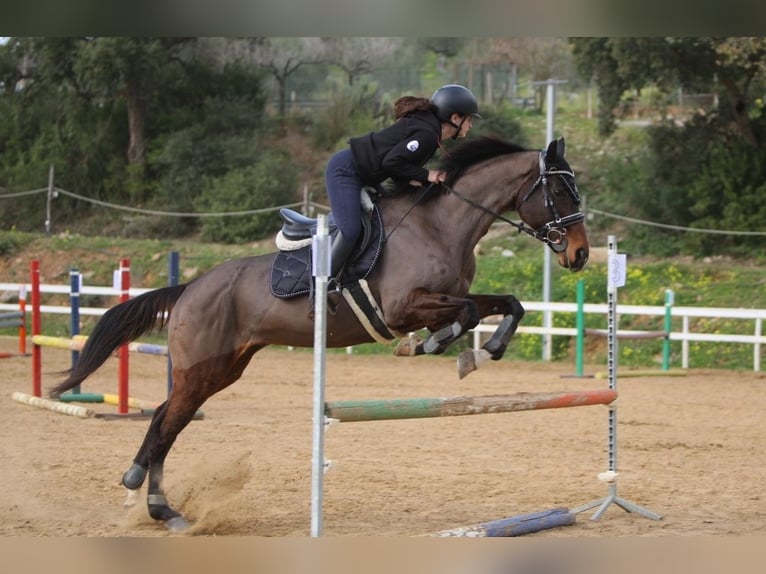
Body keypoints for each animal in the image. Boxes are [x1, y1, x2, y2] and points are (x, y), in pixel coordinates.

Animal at [51, 135, 592, 532]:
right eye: (562, 192)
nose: (580, 254)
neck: (443, 224)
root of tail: (190, 288)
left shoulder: (449, 297)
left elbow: (506, 305)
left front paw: (482, 353)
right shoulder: (404, 307)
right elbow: (464, 314)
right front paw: (431, 345)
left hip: (222, 369)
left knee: (168, 417)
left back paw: (153, 499)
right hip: (202, 369)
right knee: (167, 423)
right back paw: (157, 502)